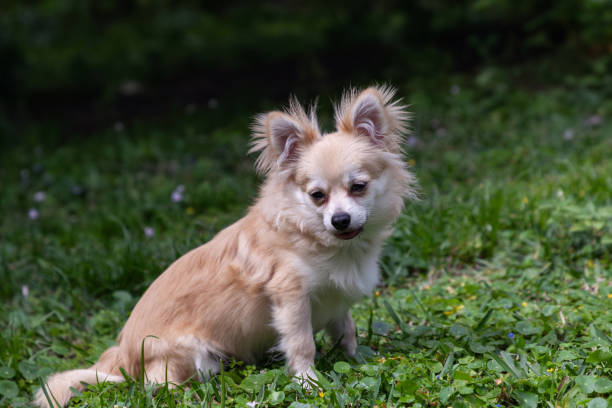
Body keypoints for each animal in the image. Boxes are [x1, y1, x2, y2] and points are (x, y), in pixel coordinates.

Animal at [33, 84, 416, 406]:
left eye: (358, 187)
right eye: (317, 196)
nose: (340, 219)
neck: (324, 244)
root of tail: (123, 358)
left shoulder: (337, 299)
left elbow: (345, 330)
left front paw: (355, 357)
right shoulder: (291, 299)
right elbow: (302, 343)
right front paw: (308, 381)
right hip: (190, 355)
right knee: (159, 384)